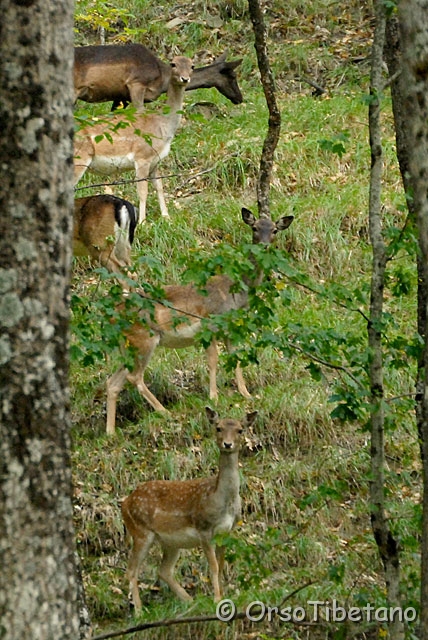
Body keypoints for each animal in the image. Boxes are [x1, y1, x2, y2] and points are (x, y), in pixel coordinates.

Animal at [72, 44, 241, 109]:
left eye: (192, 66)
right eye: (233, 76)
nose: (240, 98)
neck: (162, 81)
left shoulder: (120, 96)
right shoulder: (135, 84)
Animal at [73, 55, 194, 225]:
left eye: (192, 65)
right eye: (173, 64)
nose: (185, 78)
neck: (163, 126)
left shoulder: (155, 161)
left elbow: (159, 185)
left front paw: (166, 216)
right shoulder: (142, 156)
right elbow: (142, 190)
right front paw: (143, 222)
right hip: (79, 159)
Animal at [106, 209, 294, 436]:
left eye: (274, 230)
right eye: (255, 228)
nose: (264, 246)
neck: (235, 295)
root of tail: (111, 316)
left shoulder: (230, 330)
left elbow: (235, 359)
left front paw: (246, 393)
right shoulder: (210, 323)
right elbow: (213, 360)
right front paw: (214, 396)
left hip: (128, 347)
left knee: (113, 382)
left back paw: (110, 432)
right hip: (144, 340)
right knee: (135, 377)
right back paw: (164, 411)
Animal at [120, 404, 258, 604]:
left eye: (240, 430)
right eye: (218, 428)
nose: (227, 444)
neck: (222, 500)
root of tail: (125, 503)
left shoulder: (227, 531)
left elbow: (221, 565)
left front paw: (223, 596)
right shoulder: (204, 529)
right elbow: (213, 566)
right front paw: (217, 598)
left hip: (170, 542)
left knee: (163, 570)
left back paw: (189, 601)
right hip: (140, 531)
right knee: (131, 570)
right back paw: (139, 609)